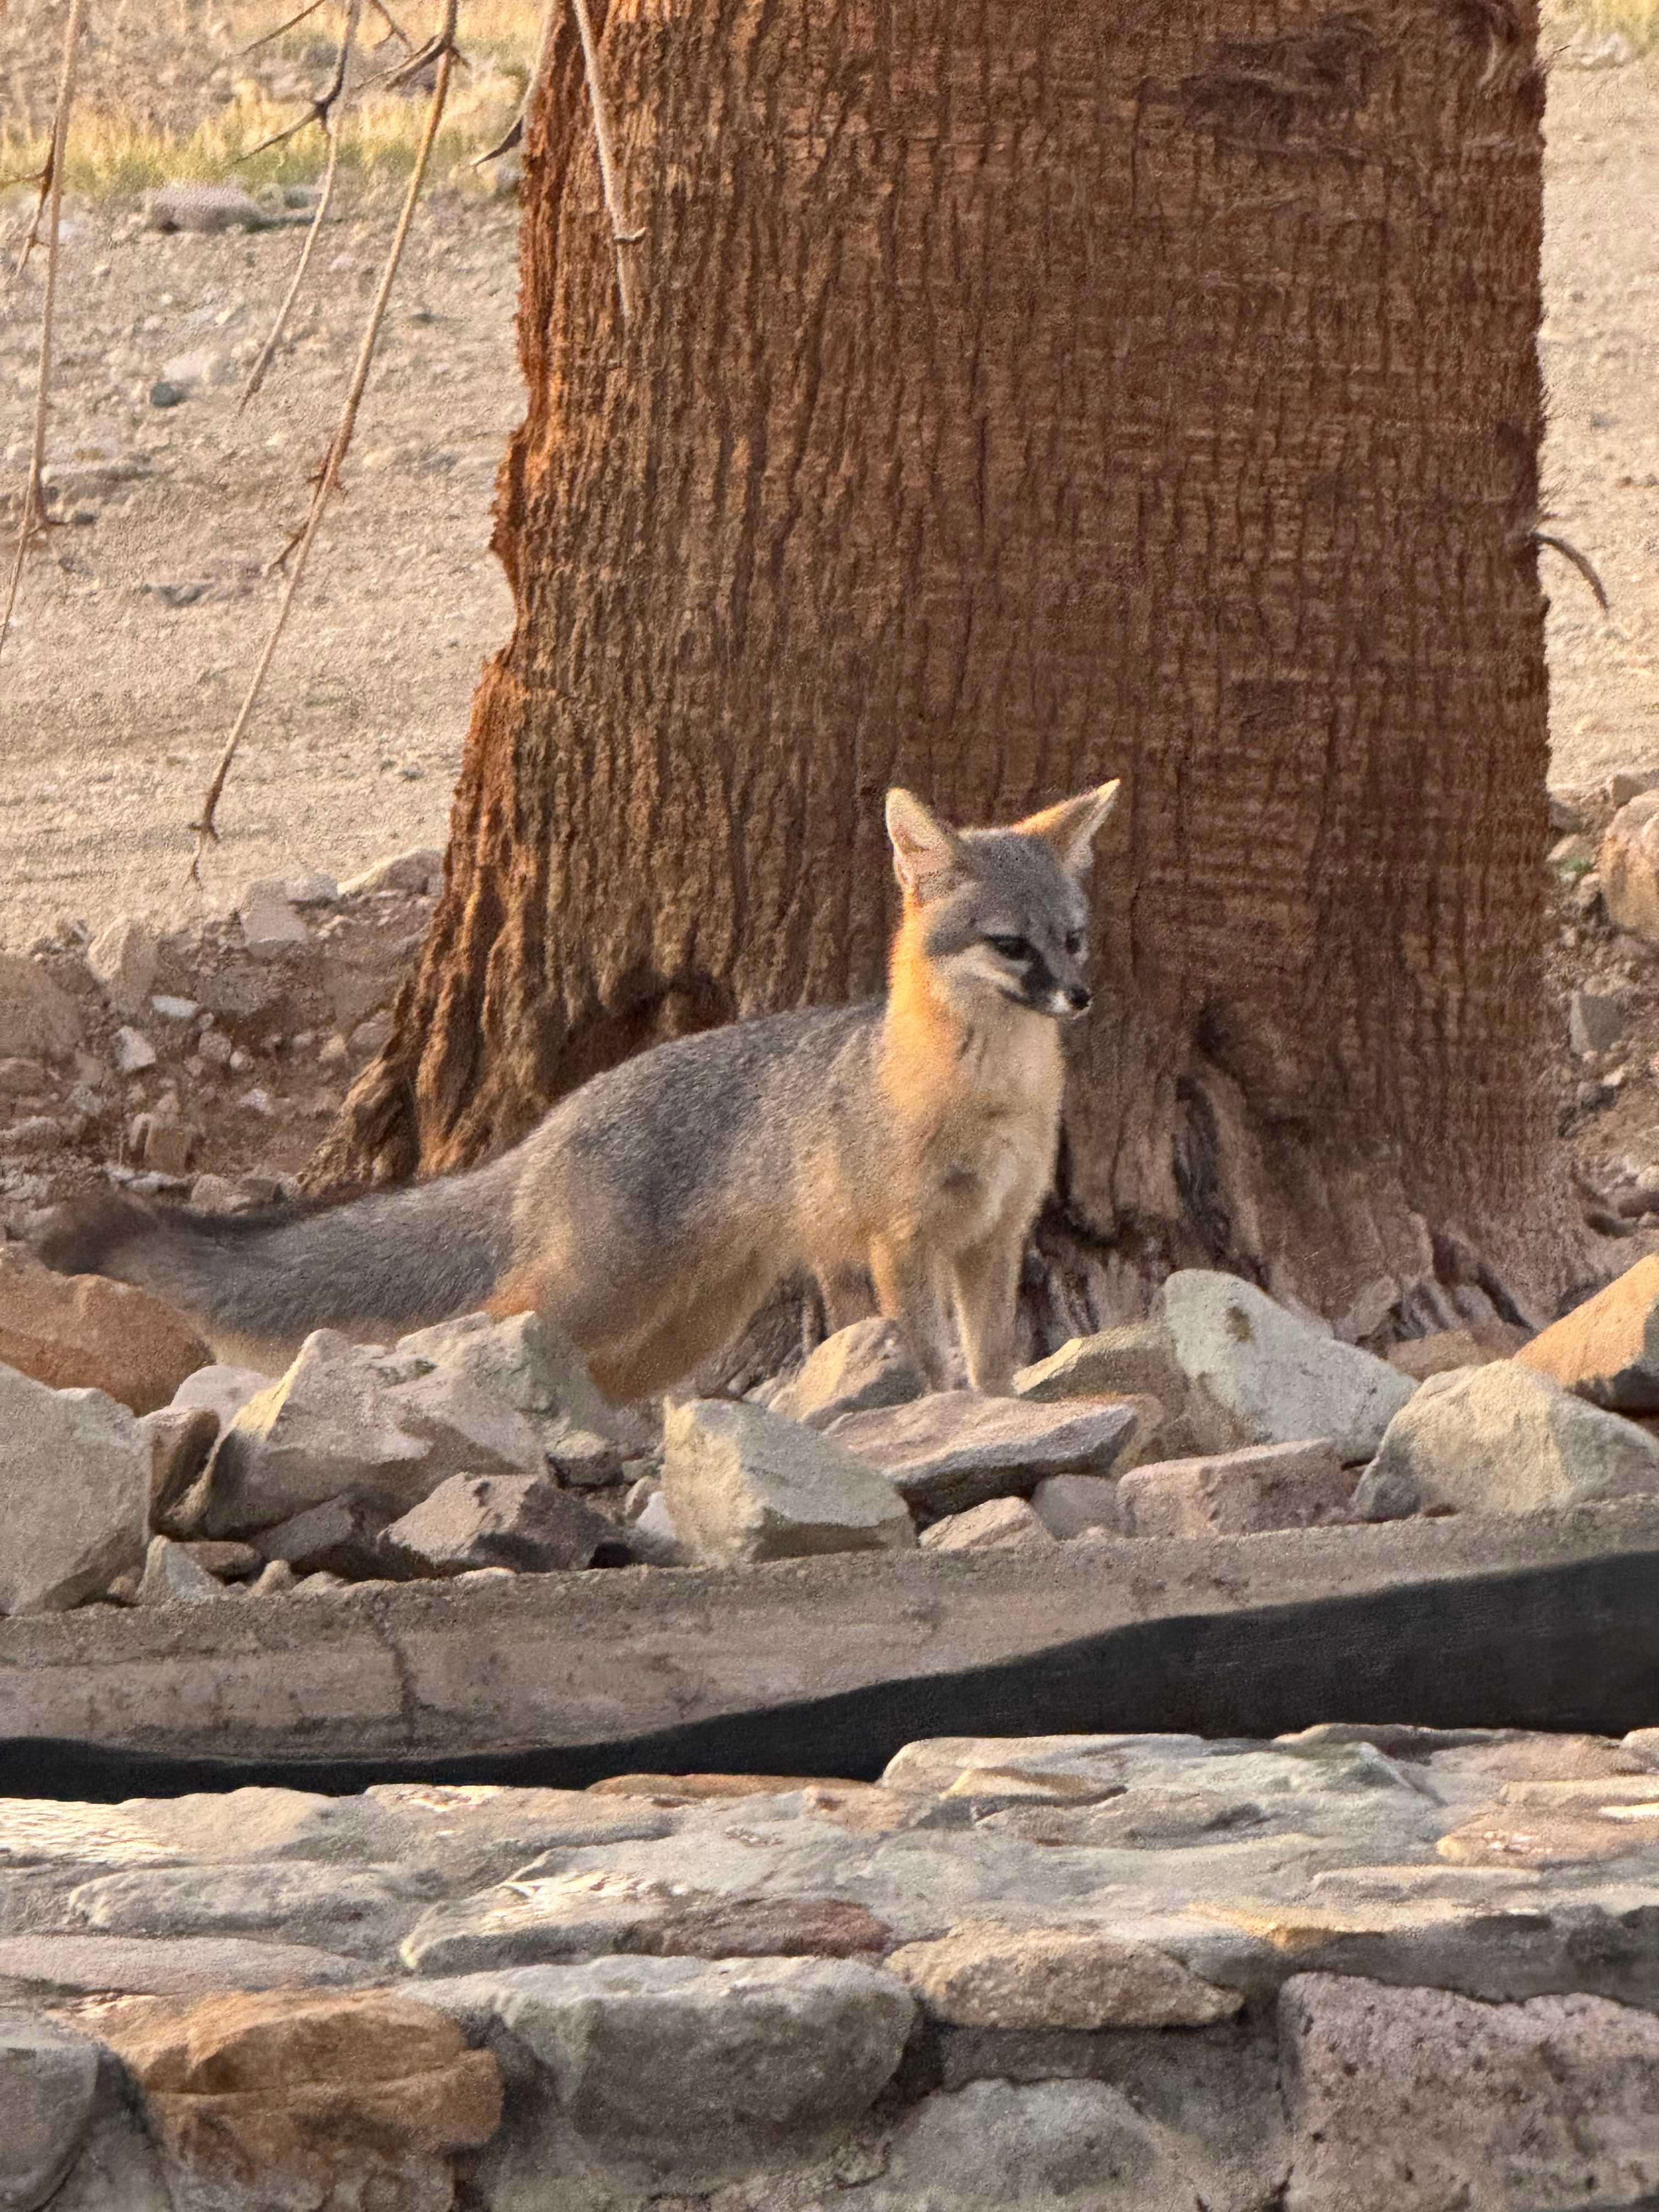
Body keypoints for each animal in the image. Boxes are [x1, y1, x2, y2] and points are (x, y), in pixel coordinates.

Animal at [35, 781, 1119, 1403]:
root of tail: (555, 1118)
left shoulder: (992, 1238)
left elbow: (992, 1363)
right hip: (601, 1291)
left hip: (680, 1323)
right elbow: (932, 1360)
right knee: (484, 1316)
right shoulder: (901, 1241)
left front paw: (999, 1416)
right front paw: (946, 1416)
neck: (989, 1094)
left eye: (1072, 937)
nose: (1079, 995)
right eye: (1009, 946)